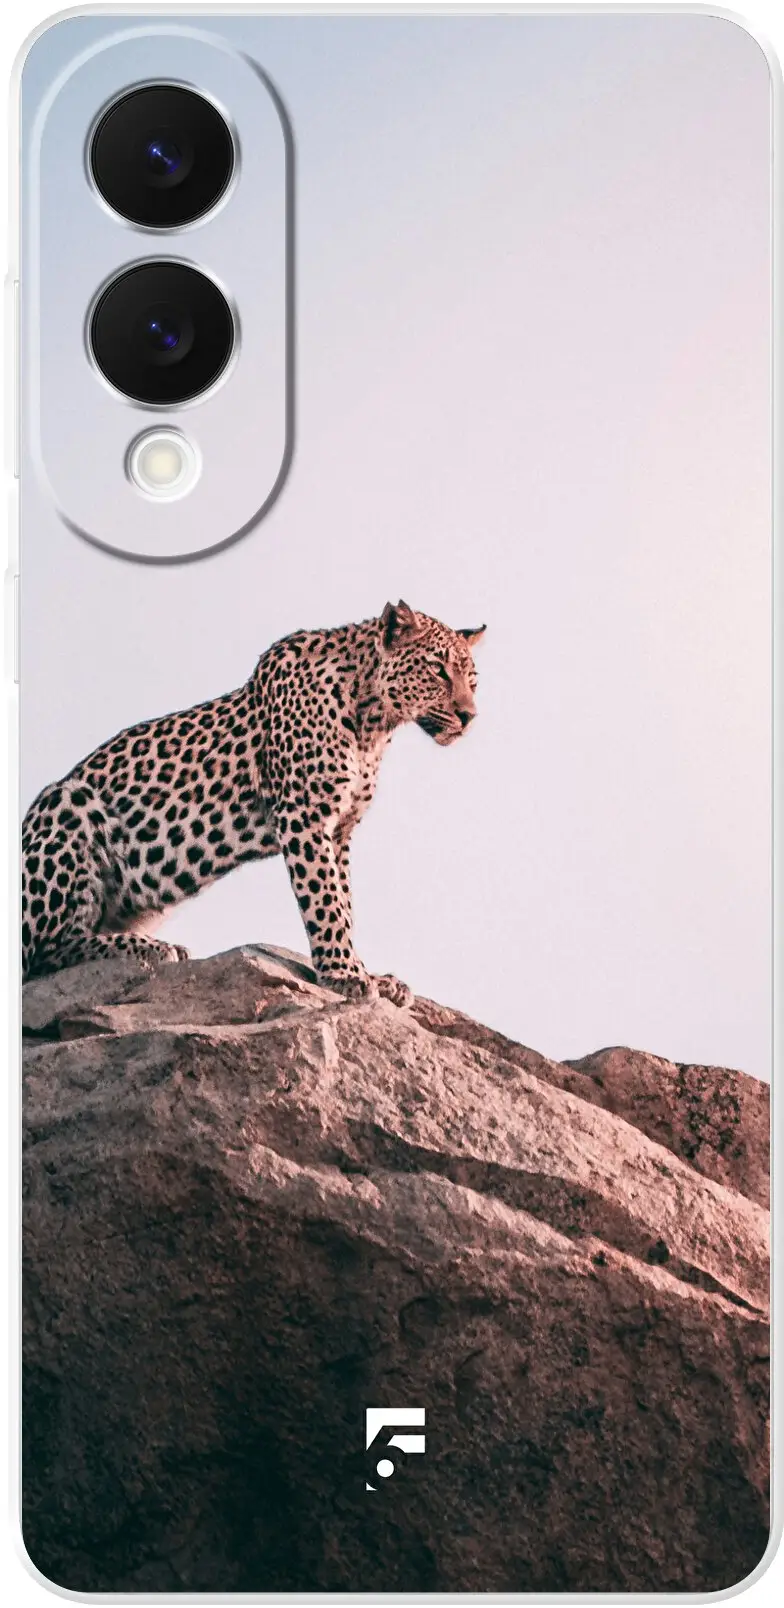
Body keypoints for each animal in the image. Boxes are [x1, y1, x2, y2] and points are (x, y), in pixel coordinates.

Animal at [22, 601, 485, 1003]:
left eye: (473, 678)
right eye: (438, 670)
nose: (469, 716)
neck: (373, 721)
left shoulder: (340, 830)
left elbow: (345, 902)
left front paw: (367, 972)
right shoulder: (304, 815)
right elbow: (325, 900)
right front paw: (344, 975)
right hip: (67, 802)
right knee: (46, 952)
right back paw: (149, 948)